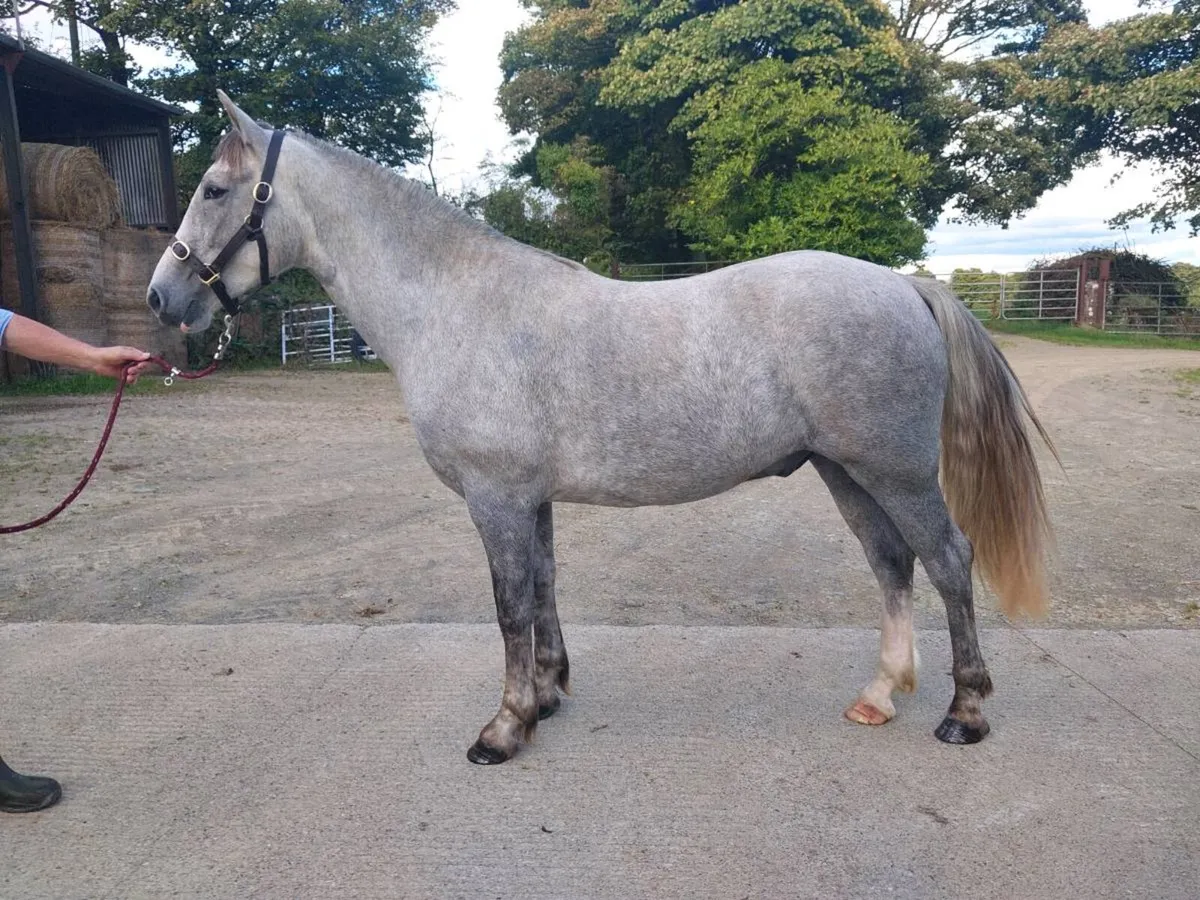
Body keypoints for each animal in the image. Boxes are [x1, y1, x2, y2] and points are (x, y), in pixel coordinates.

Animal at [147, 93, 1054, 765]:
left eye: (215, 190)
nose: (162, 297)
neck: (457, 303)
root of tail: (905, 285)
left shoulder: (496, 498)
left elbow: (510, 605)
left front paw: (504, 727)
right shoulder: (530, 499)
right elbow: (544, 589)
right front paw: (547, 695)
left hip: (895, 470)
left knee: (949, 560)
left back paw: (965, 711)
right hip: (846, 470)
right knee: (891, 561)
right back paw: (878, 695)